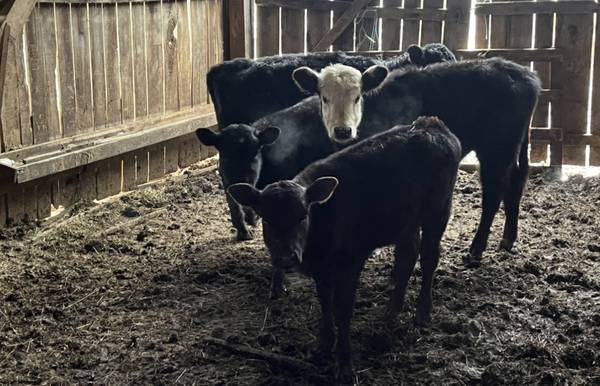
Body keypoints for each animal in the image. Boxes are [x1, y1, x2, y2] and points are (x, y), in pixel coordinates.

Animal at [227, 116, 462, 382]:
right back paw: (392, 310)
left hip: (438, 210)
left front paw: (344, 365)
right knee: (407, 255)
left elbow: (342, 311)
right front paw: (324, 346)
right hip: (406, 221)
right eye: (266, 218)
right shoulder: (321, 270)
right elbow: (325, 303)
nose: (286, 257)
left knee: (430, 256)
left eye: (303, 215)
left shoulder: (349, 264)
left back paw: (423, 312)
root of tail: (431, 124)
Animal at [298, 58, 540, 268]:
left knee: (494, 192)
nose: (342, 130)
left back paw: (476, 250)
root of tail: (524, 73)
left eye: (357, 97)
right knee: (516, 183)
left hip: (497, 149)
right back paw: (508, 238)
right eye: (324, 98)